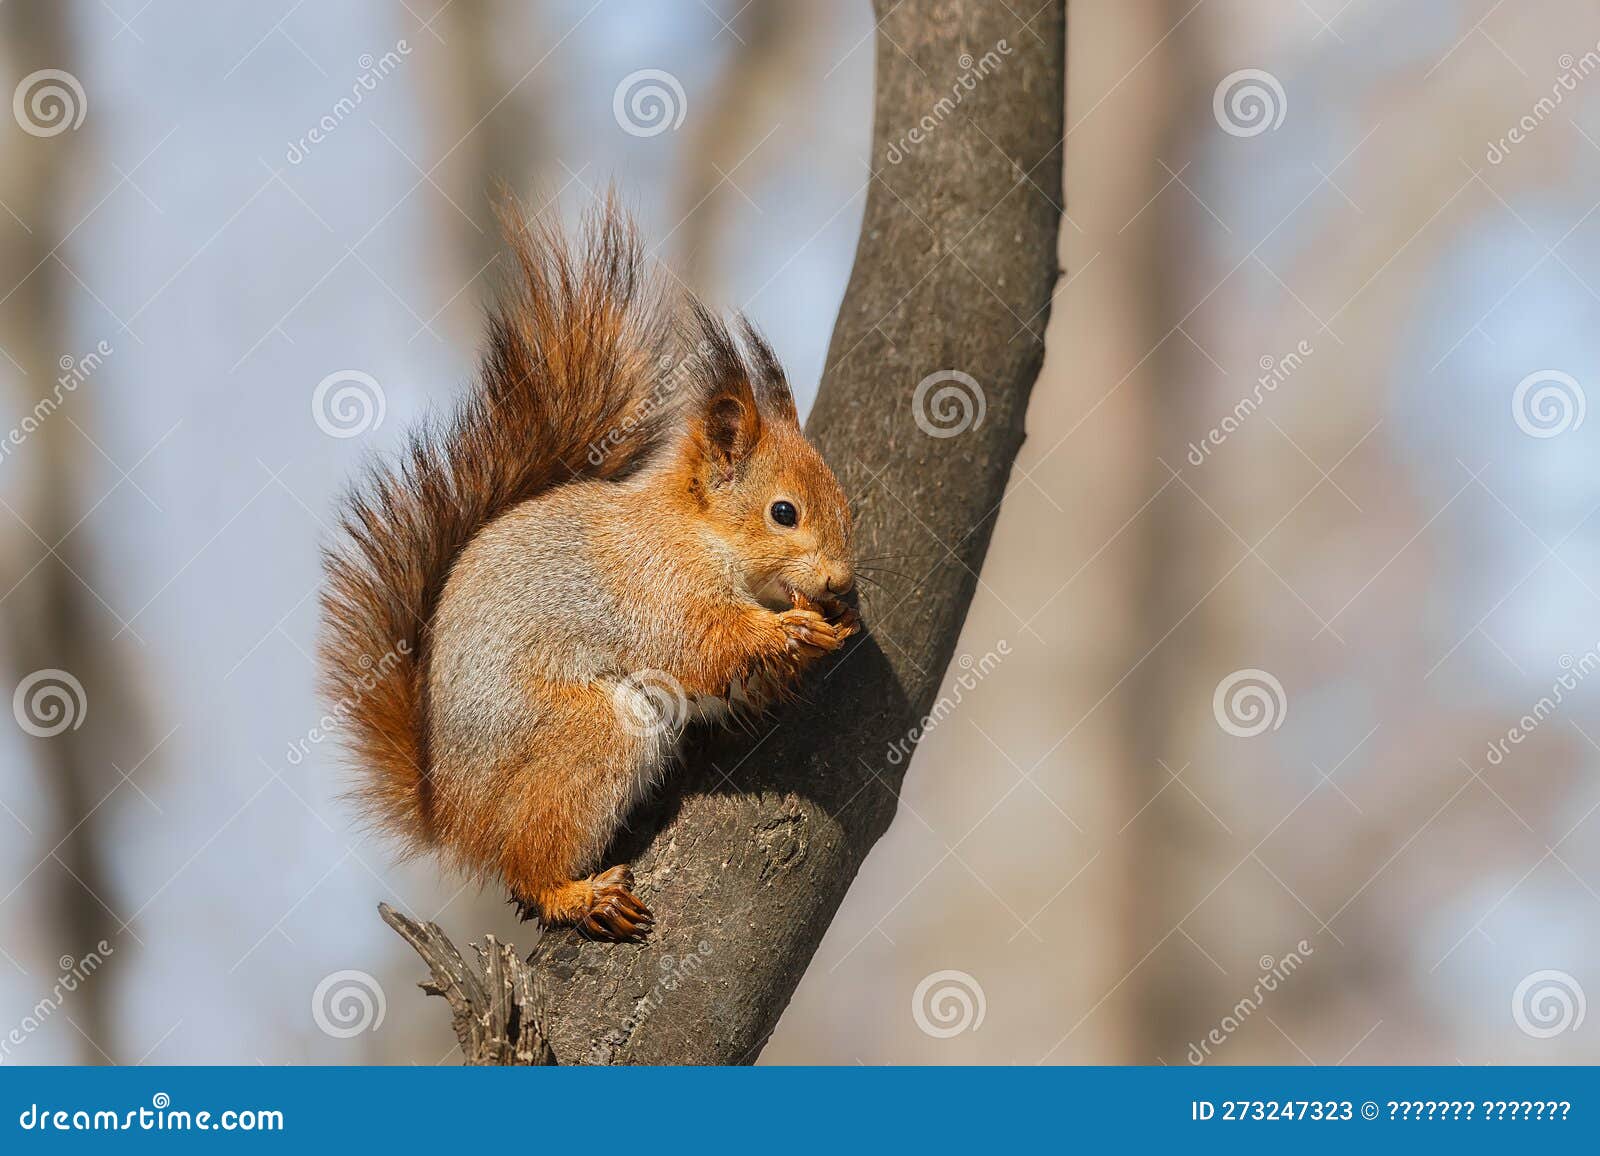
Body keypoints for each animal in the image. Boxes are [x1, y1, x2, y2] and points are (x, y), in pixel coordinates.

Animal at [320, 195, 858, 942]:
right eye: (784, 512)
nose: (839, 581)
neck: (697, 532)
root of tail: (451, 818)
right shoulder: (657, 583)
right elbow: (703, 643)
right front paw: (792, 632)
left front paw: (826, 625)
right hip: (585, 735)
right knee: (527, 864)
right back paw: (574, 895)